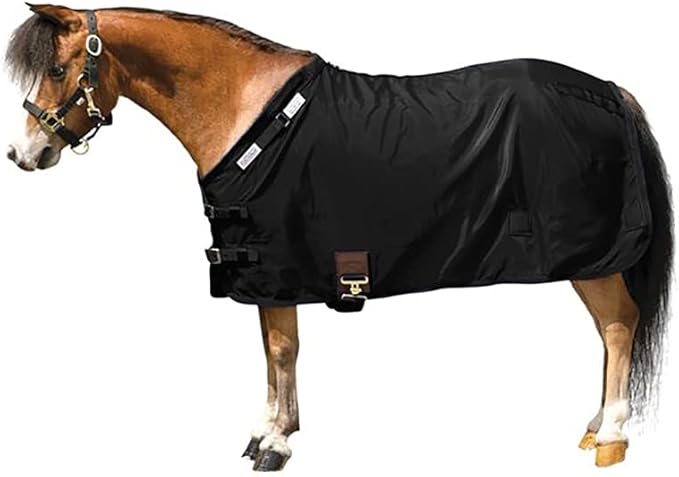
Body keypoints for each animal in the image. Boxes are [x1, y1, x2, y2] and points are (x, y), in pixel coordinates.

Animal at [4, 4, 672, 472]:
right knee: (609, 333)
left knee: (619, 326)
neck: (248, 113)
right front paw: (267, 430)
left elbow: (281, 350)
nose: (21, 153)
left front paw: (274, 444)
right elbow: (271, 352)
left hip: (594, 259)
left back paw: (611, 438)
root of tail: (611, 92)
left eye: (58, 69)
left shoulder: (276, 266)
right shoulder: (264, 273)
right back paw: (594, 427)